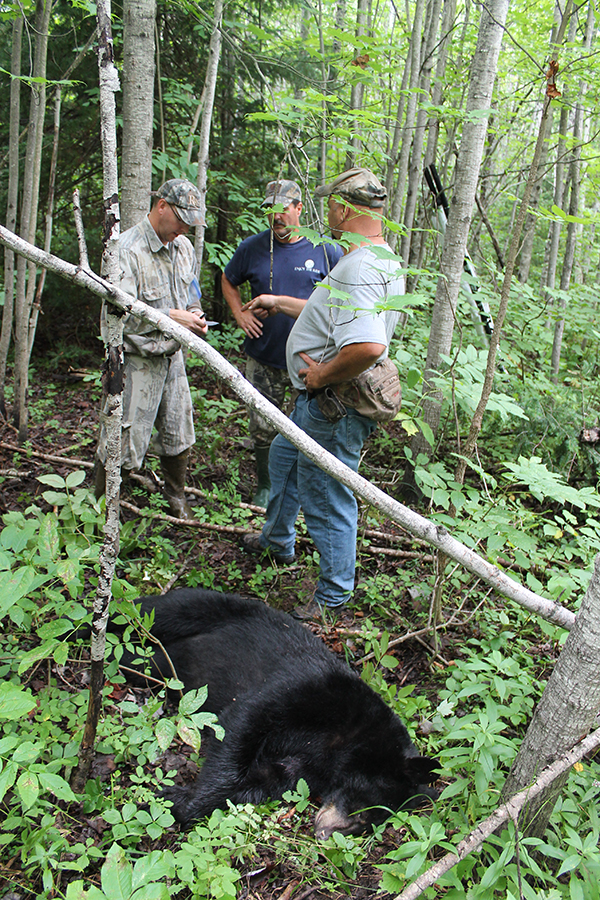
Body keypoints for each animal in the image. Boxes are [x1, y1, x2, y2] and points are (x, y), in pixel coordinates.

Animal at [118, 592, 436, 836]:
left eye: (373, 821)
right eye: (365, 806)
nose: (324, 833)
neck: (343, 745)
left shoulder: (310, 768)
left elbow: (268, 779)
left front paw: (175, 800)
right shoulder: (311, 691)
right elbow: (244, 722)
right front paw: (187, 801)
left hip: (161, 666)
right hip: (207, 607)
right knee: (154, 609)